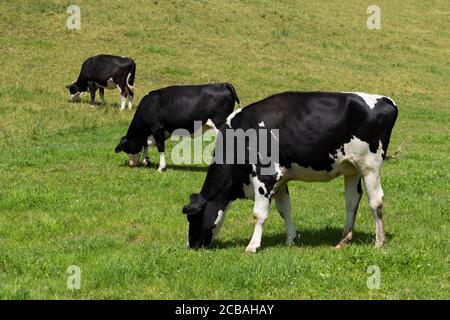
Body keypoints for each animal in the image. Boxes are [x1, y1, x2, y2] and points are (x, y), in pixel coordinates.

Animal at [181, 90, 400, 252]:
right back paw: (343, 239)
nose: (191, 245)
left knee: (376, 201)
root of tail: (386, 100)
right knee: (352, 202)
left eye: (194, 217)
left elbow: (259, 214)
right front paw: (290, 239)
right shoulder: (281, 180)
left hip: (370, 166)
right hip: (352, 169)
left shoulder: (266, 176)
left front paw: (253, 246)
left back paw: (379, 242)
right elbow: (284, 209)